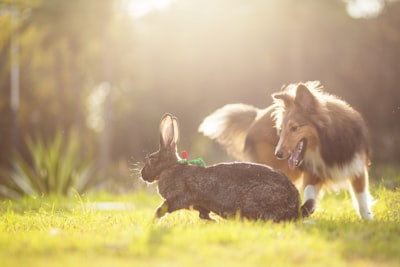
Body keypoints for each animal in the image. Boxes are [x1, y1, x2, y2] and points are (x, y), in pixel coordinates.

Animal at [141, 114, 312, 223]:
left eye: (151, 159)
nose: (142, 175)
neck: (170, 167)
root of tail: (295, 208)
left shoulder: (178, 198)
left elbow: (162, 209)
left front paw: (153, 220)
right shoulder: (200, 206)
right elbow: (204, 214)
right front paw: (215, 221)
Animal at [202, 82, 374, 221]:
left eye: (294, 128)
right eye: (281, 129)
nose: (278, 154)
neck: (327, 143)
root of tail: (257, 115)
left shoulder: (356, 167)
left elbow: (362, 198)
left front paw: (367, 219)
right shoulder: (312, 172)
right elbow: (309, 194)